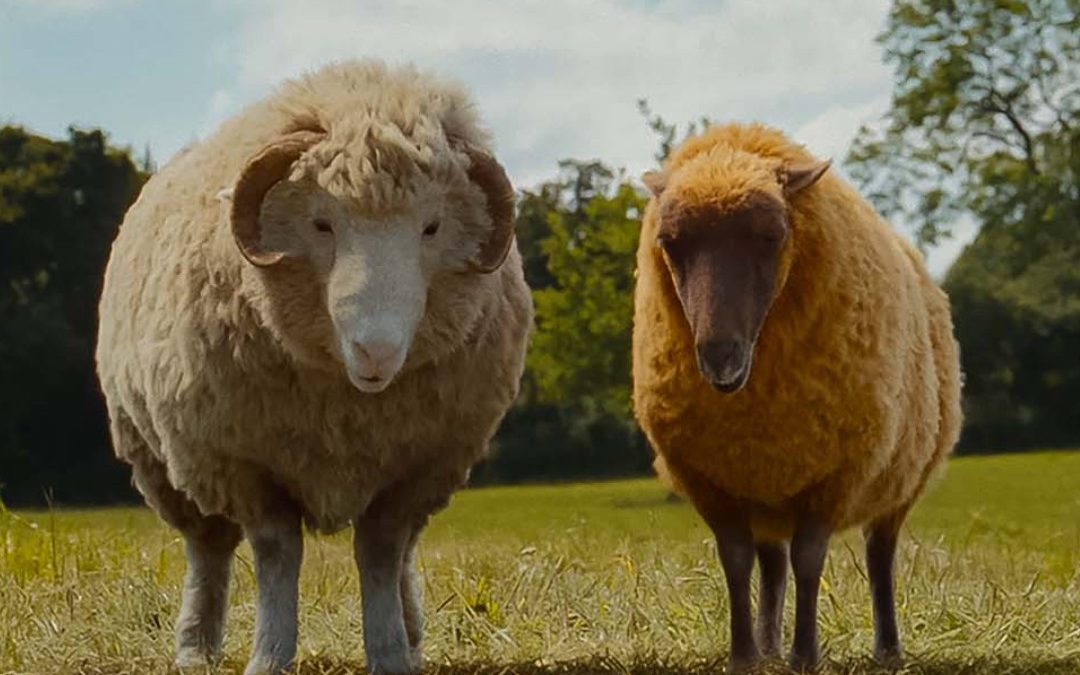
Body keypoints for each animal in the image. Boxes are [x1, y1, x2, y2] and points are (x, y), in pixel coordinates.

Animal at [95, 59, 533, 675]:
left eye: (432, 228)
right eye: (322, 224)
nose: (376, 351)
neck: (348, 407)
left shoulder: (417, 469)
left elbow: (380, 553)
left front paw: (391, 652)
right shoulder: (247, 466)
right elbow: (279, 555)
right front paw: (270, 656)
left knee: (402, 556)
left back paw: (412, 633)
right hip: (167, 463)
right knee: (208, 550)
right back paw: (195, 647)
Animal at [632, 123, 961, 671]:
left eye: (771, 237)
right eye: (671, 243)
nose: (719, 356)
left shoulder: (834, 476)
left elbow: (810, 561)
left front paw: (806, 655)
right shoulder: (714, 482)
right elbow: (736, 562)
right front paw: (744, 656)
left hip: (898, 480)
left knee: (880, 556)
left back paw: (887, 648)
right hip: (767, 489)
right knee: (771, 565)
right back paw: (768, 645)